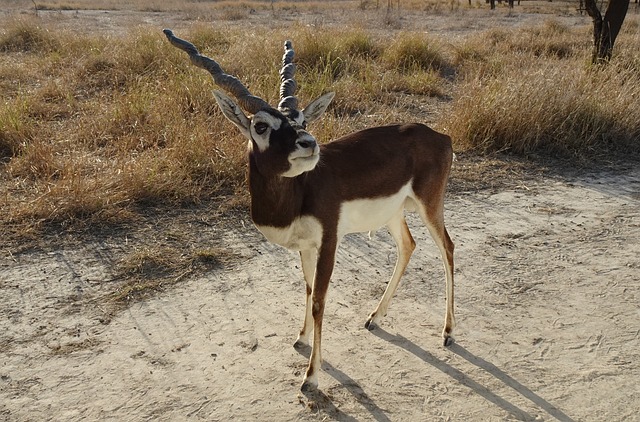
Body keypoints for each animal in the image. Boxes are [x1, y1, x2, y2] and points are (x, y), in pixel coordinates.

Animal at [164, 29, 456, 390]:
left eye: (301, 119)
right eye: (261, 126)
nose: (309, 142)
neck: (297, 194)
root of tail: (441, 136)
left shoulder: (329, 239)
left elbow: (319, 299)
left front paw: (311, 375)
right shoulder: (304, 246)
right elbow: (306, 288)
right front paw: (301, 338)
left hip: (430, 205)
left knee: (447, 248)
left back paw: (447, 332)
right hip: (394, 212)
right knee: (408, 246)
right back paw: (375, 317)